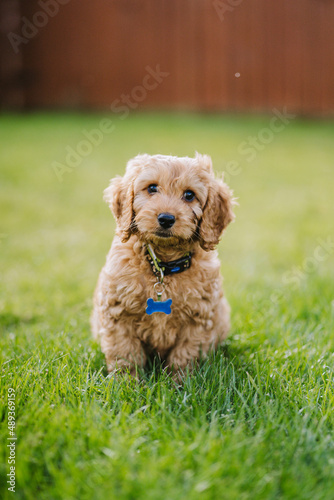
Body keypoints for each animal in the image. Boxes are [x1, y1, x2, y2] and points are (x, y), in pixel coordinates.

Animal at [91, 152, 235, 376]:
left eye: (189, 195)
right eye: (152, 188)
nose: (166, 218)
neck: (162, 266)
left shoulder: (198, 318)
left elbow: (185, 355)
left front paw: (180, 381)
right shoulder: (117, 312)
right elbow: (125, 352)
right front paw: (126, 381)